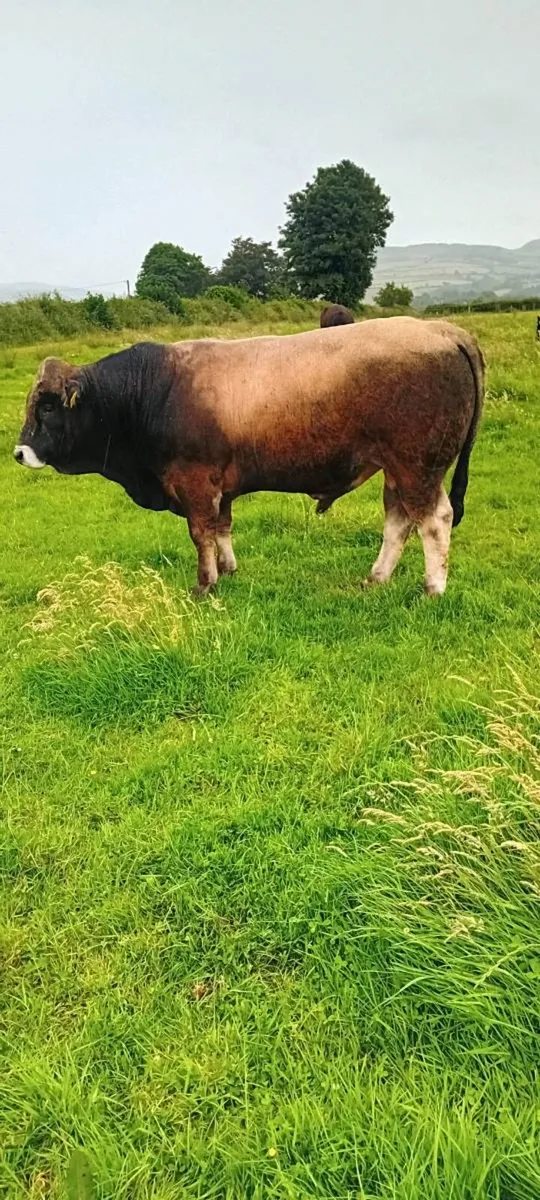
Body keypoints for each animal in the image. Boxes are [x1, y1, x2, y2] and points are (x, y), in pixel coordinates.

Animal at [14, 317, 483, 597]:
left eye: (48, 407)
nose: (19, 452)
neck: (152, 391)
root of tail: (442, 330)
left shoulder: (194, 482)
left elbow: (201, 534)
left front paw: (204, 586)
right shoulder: (220, 487)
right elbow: (222, 529)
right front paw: (228, 570)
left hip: (418, 466)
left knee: (434, 520)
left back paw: (432, 589)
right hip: (397, 469)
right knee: (398, 522)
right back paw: (377, 577)